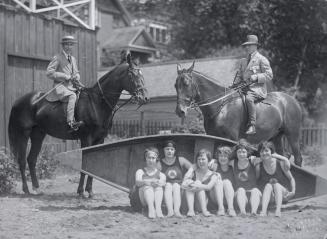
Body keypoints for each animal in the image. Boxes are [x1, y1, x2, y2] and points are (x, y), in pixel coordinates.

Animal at [7, 54, 149, 196]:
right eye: (132, 75)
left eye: (141, 74)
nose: (144, 98)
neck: (97, 102)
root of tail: (19, 101)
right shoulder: (86, 138)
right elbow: (84, 165)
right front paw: (81, 191)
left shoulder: (100, 139)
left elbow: (94, 165)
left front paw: (89, 191)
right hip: (23, 135)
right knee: (22, 161)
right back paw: (26, 189)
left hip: (38, 135)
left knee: (31, 160)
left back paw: (36, 188)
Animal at [176, 62, 304, 165]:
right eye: (175, 85)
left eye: (186, 83)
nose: (180, 111)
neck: (222, 106)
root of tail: (292, 100)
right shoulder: (214, 137)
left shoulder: (231, 139)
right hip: (276, 137)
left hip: (293, 135)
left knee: (297, 158)